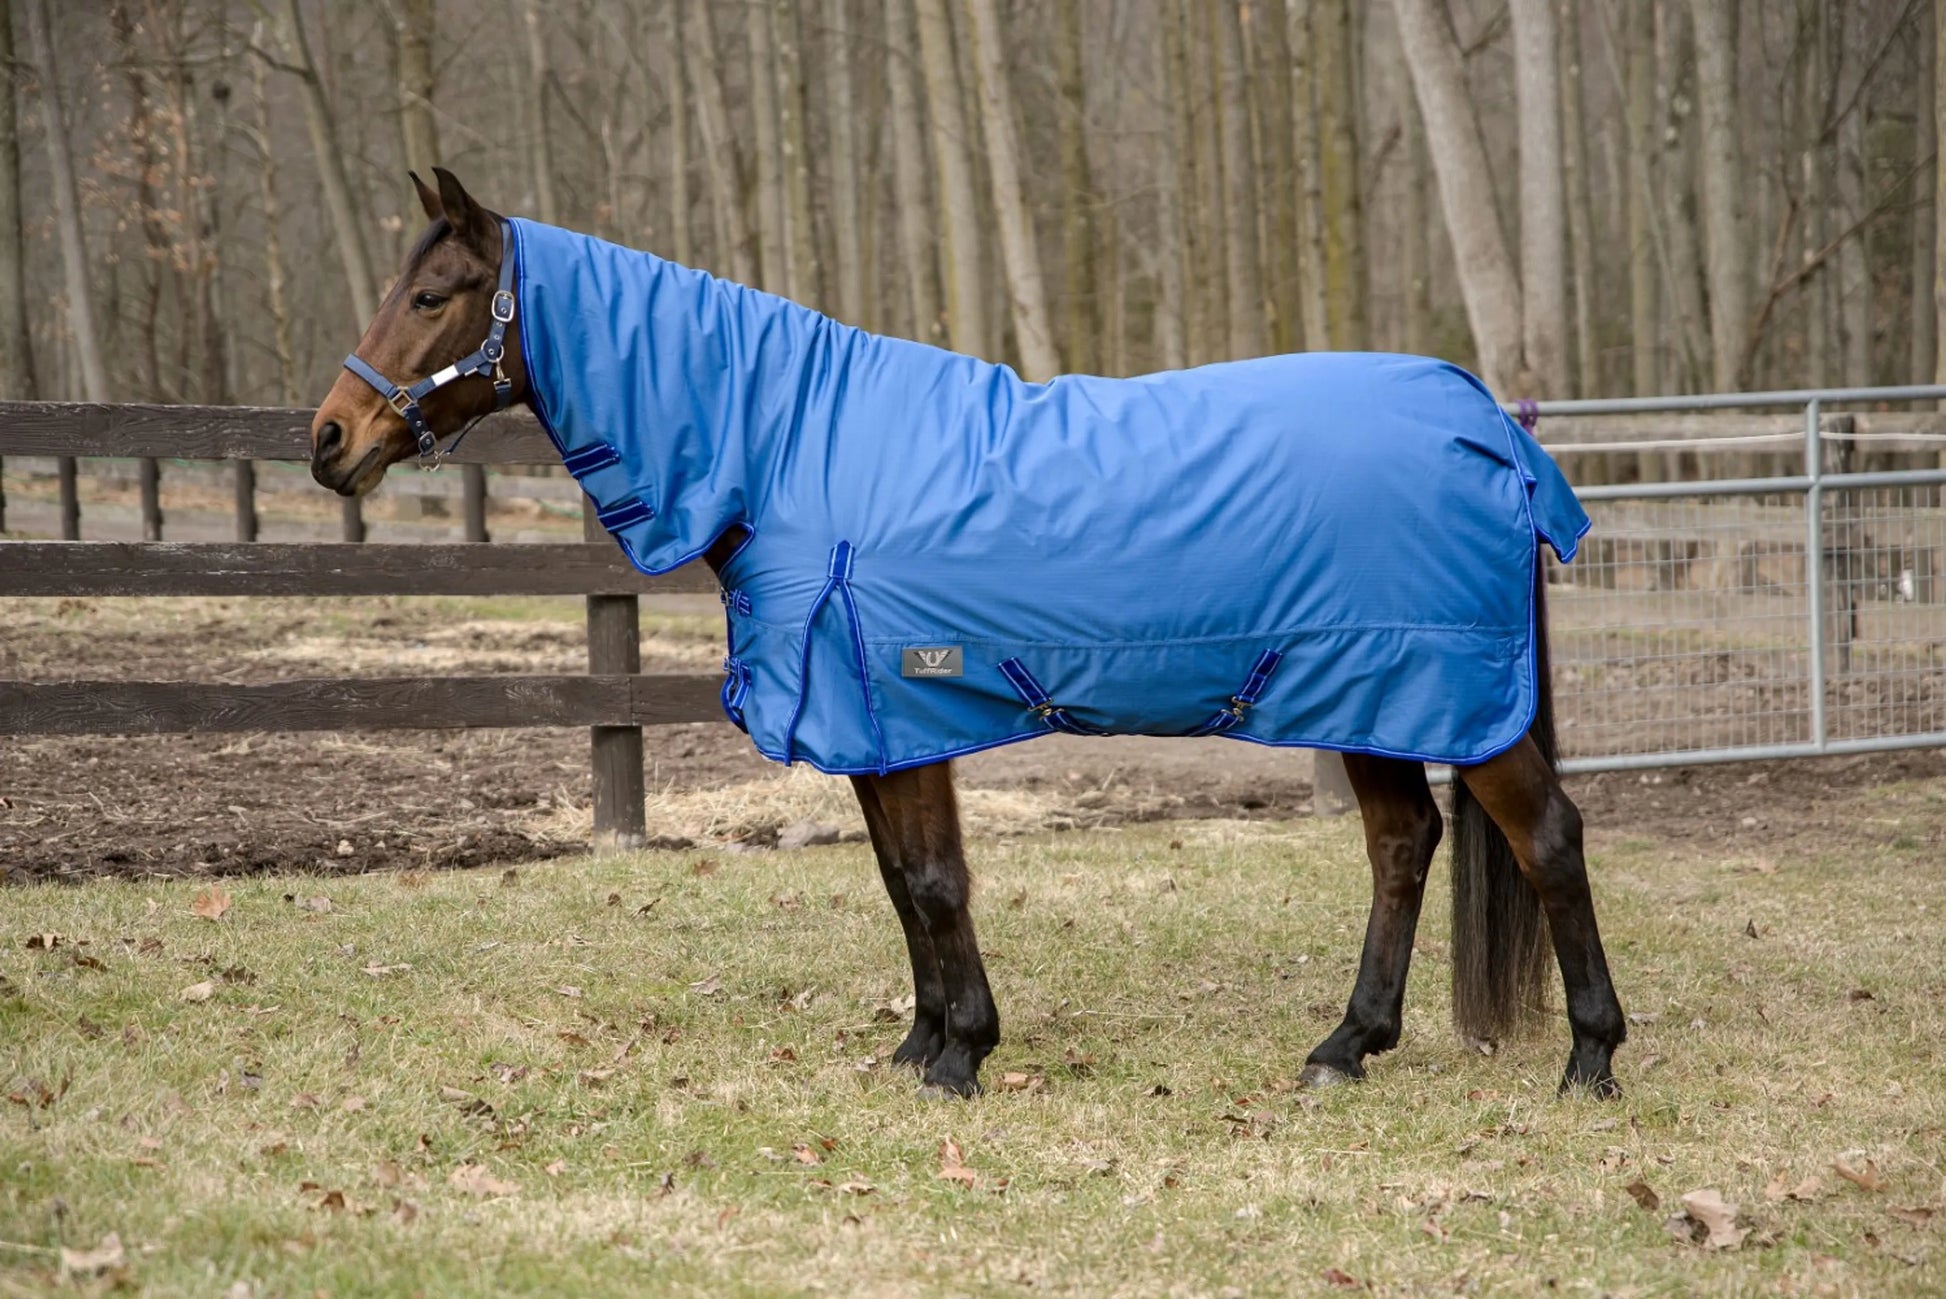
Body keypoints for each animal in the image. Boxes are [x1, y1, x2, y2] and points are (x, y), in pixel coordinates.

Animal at [310, 168, 1625, 1100]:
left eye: (431, 297)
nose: (328, 441)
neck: (789, 447)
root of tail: (1483, 420)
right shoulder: (879, 726)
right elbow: (903, 884)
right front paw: (921, 1045)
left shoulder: (896, 701)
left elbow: (936, 882)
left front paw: (959, 1059)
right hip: (1368, 691)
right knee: (1402, 846)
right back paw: (1345, 1046)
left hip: (1443, 689)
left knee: (1545, 838)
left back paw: (1589, 1060)